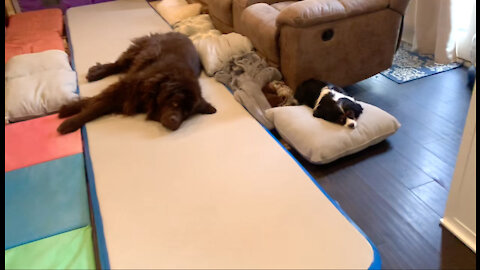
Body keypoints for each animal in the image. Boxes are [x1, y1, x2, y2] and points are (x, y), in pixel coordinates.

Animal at [56, 31, 216, 134]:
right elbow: (96, 106)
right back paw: (97, 72)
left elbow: (95, 101)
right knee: (118, 64)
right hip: (137, 50)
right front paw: (70, 121)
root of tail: (180, 33)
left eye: (187, 114)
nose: (175, 123)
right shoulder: (127, 88)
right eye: (175, 103)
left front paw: (69, 110)